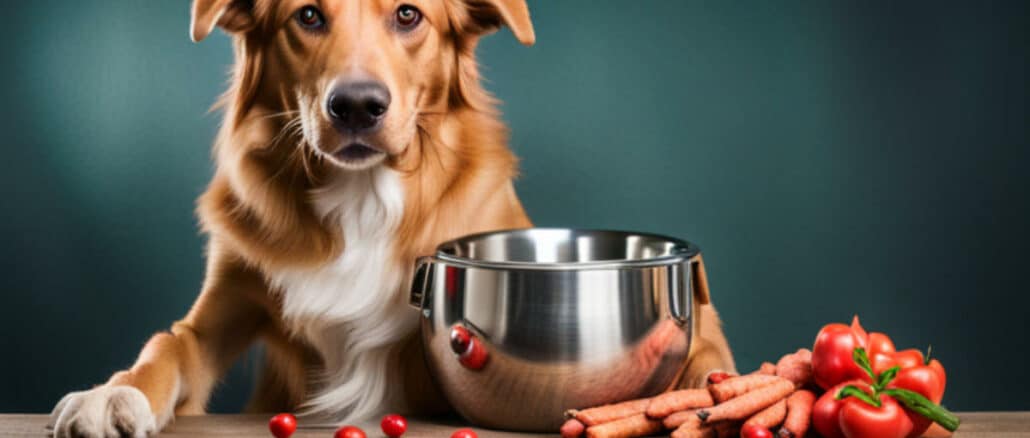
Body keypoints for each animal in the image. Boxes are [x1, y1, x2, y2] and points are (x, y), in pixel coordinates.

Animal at [48, 1, 737, 434]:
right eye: (307, 16)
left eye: (409, 15)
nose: (356, 105)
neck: (362, 198)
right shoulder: (221, 307)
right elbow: (168, 346)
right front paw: (111, 395)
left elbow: (708, 354)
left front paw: (717, 398)